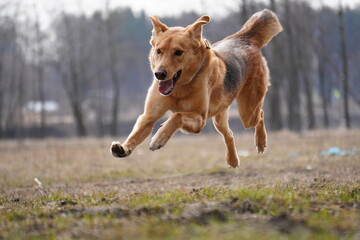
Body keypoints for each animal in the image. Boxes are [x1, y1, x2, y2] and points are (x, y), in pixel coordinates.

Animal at [109, 8, 282, 167]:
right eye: (158, 51)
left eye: (178, 52)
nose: (159, 74)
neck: (179, 88)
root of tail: (243, 39)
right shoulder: (149, 115)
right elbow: (136, 133)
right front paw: (123, 148)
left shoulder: (199, 118)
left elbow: (176, 115)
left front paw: (159, 137)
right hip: (220, 117)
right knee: (229, 134)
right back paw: (232, 160)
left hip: (247, 112)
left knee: (260, 115)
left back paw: (260, 141)